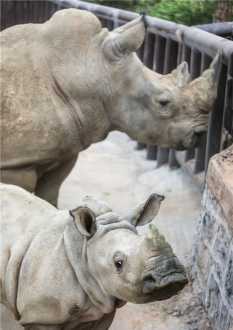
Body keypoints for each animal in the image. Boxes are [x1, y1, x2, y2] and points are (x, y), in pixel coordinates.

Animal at [0, 8, 220, 206]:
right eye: (163, 103)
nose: (201, 133)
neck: (90, 68)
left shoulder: (63, 153)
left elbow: (49, 197)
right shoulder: (16, 164)